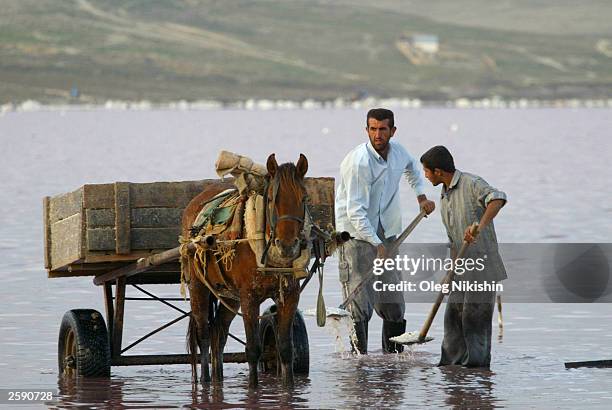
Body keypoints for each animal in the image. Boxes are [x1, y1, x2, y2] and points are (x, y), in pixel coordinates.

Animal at [180, 153, 306, 388]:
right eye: (271, 200)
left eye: (304, 199)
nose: (287, 246)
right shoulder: (249, 298)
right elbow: (253, 349)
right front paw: (253, 388)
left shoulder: (290, 296)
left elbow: (286, 348)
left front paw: (288, 388)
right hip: (198, 287)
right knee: (203, 335)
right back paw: (205, 380)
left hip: (229, 296)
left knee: (218, 333)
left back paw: (218, 378)